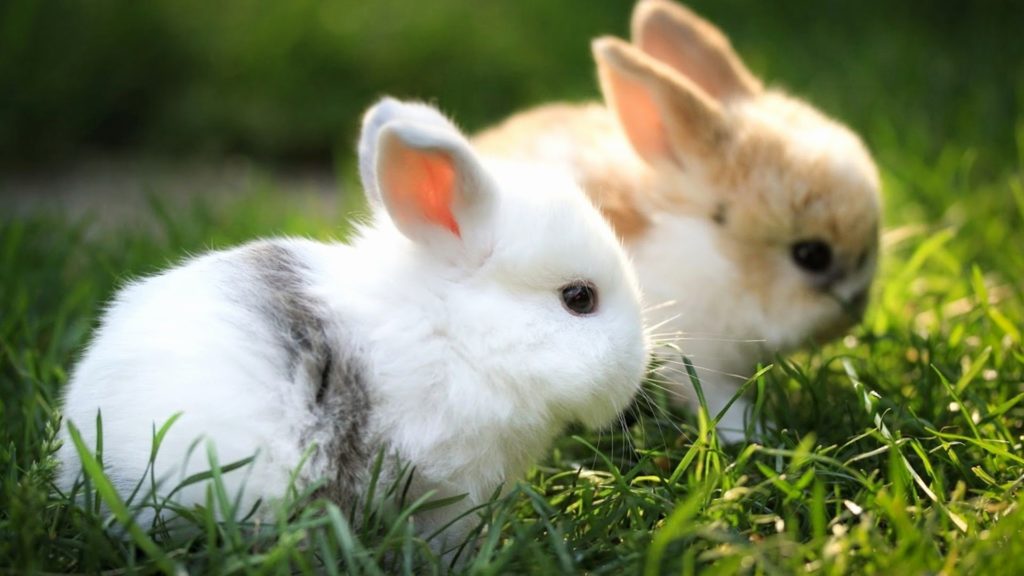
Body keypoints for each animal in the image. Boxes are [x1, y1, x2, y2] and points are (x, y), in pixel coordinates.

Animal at [474, 0, 881, 442]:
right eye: (811, 255)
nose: (854, 313)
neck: (717, 258)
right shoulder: (697, 360)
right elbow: (717, 400)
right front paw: (756, 434)